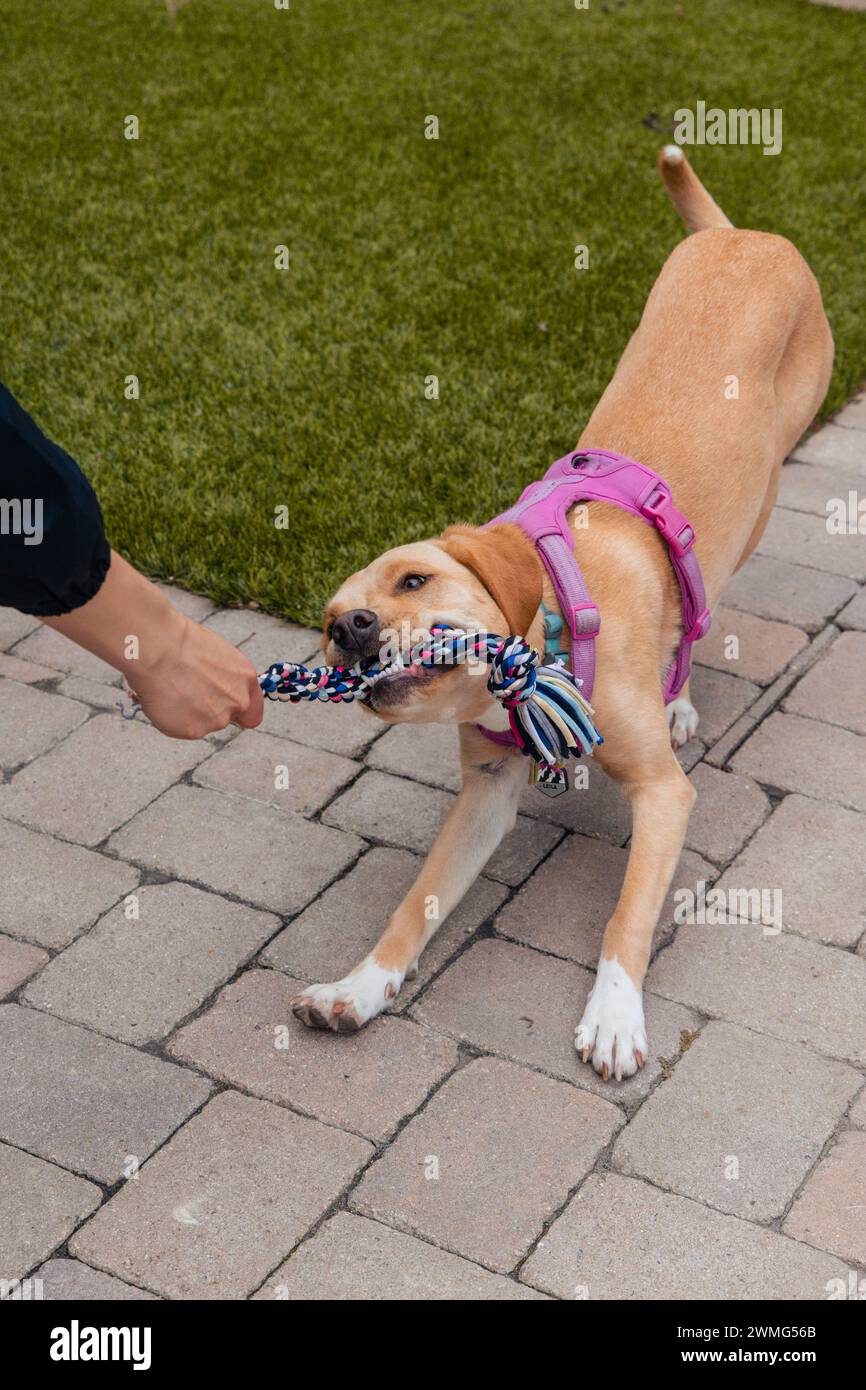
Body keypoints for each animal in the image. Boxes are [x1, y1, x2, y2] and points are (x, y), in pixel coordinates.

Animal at [291, 154, 834, 1084]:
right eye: (329, 621)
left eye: (413, 579)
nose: (353, 630)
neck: (536, 655)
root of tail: (739, 235)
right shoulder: (485, 792)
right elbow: (415, 901)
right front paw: (359, 987)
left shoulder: (664, 793)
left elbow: (629, 915)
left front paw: (614, 1014)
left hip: (761, 496)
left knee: (701, 601)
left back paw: (679, 694)